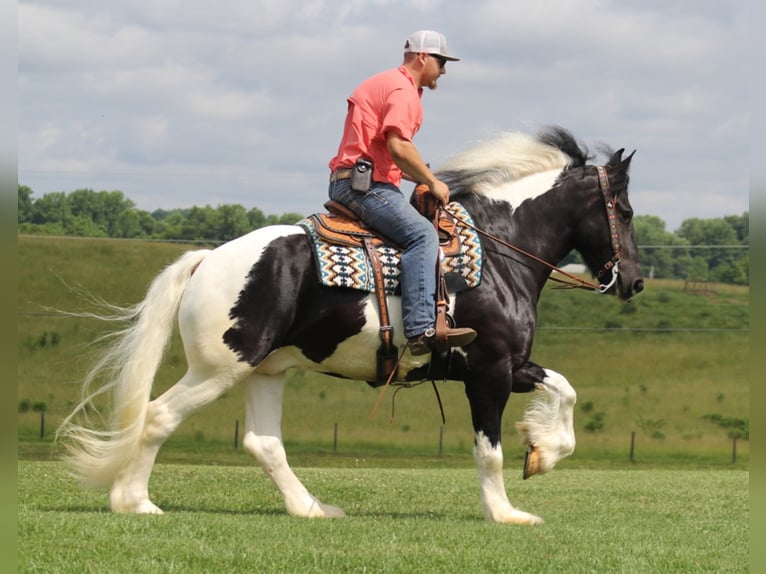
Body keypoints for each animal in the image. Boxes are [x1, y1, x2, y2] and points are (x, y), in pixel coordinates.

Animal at [60, 127, 644, 528]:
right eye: (624, 210)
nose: (635, 281)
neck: (499, 255)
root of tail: (209, 259)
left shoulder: (511, 366)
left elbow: (565, 389)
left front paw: (542, 453)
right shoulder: (489, 371)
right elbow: (490, 449)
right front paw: (505, 512)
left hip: (265, 371)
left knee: (262, 443)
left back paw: (312, 508)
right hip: (219, 368)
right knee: (158, 416)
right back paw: (135, 501)